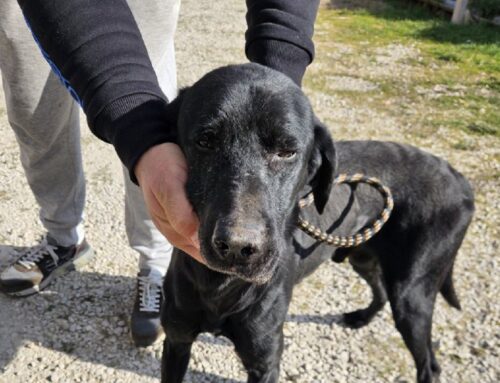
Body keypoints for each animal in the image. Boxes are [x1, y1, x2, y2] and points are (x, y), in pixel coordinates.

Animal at [159, 63, 472, 383]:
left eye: (287, 151)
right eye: (205, 141)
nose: (237, 247)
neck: (219, 287)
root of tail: (458, 177)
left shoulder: (265, 361)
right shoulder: (176, 342)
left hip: (412, 295)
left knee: (429, 363)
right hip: (363, 257)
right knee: (381, 290)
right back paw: (362, 317)